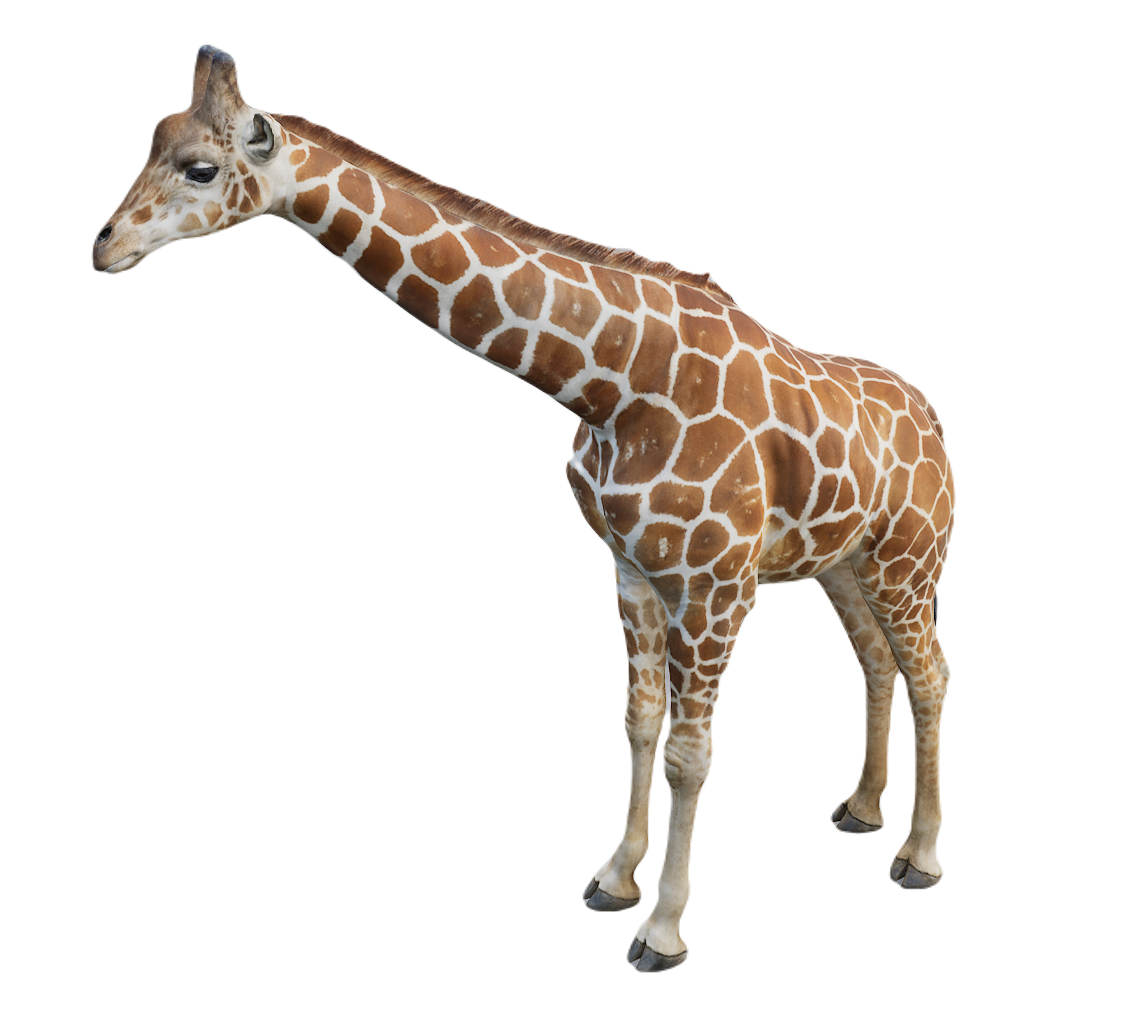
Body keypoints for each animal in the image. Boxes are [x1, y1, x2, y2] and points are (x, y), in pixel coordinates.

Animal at [93, 45, 955, 972]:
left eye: (200, 166)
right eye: (154, 139)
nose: (104, 246)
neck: (615, 383)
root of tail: (933, 420)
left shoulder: (717, 588)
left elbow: (691, 754)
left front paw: (663, 930)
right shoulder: (632, 570)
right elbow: (638, 722)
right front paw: (614, 879)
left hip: (910, 561)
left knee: (931, 672)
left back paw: (919, 856)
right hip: (844, 566)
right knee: (877, 662)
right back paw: (861, 811)